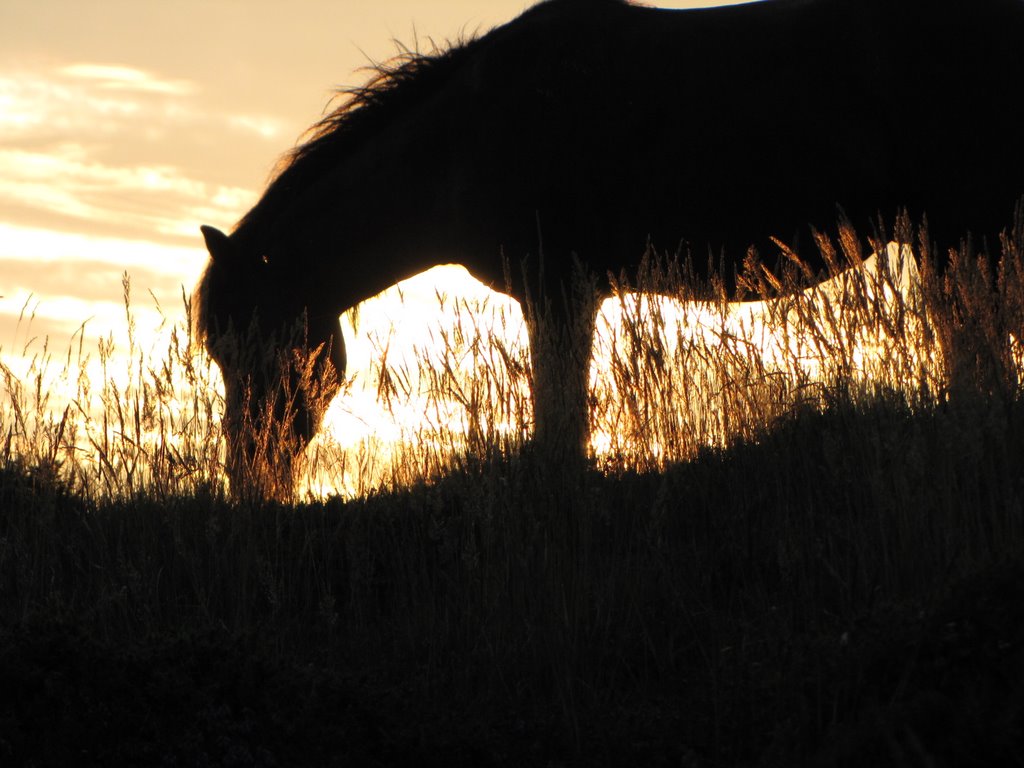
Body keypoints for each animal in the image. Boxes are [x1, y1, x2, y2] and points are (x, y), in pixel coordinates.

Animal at [193, 0, 1024, 495]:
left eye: (247, 342)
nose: (249, 473)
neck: (468, 135)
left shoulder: (559, 289)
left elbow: (560, 427)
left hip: (965, 228)